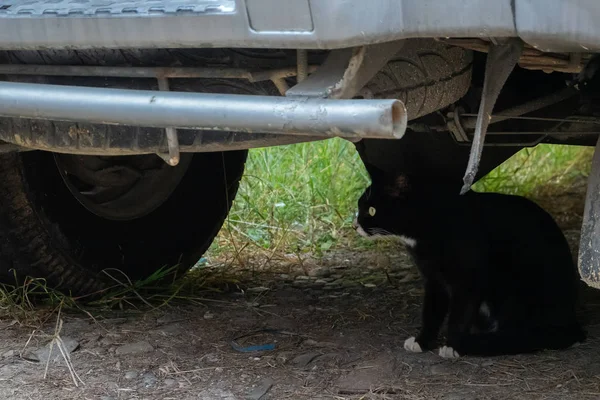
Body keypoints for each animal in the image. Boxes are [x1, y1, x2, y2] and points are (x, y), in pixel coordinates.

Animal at [354, 166, 584, 356]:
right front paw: (422, 341)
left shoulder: (468, 278)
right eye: (359, 206)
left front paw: (453, 345)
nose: (355, 225)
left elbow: (459, 314)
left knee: (519, 335)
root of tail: (571, 320)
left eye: (372, 210)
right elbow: (431, 312)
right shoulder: (434, 279)